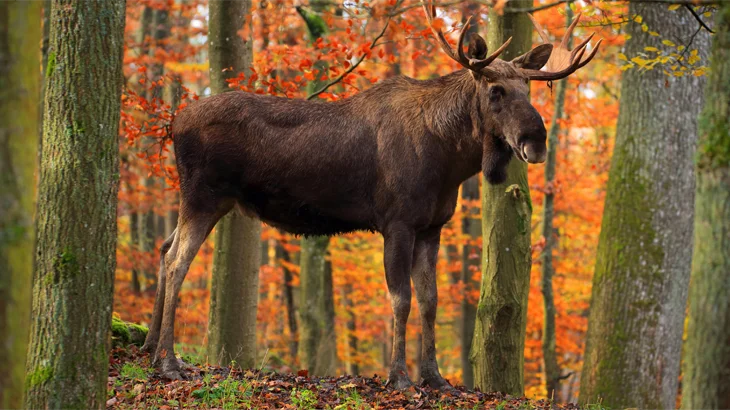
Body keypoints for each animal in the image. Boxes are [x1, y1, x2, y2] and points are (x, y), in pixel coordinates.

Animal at [141, 4, 600, 389]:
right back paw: (169, 362)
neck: (450, 161)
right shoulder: (396, 222)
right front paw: (399, 377)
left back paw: (148, 348)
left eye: (528, 89)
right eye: (495, 91)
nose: (536, 140)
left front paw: (434, 377)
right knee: (177, 261)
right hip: (203, 196)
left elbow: (430, 301)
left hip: (200, 201)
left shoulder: (433, 226)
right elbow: (401, 300)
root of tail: (173, 123)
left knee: (163, 249)